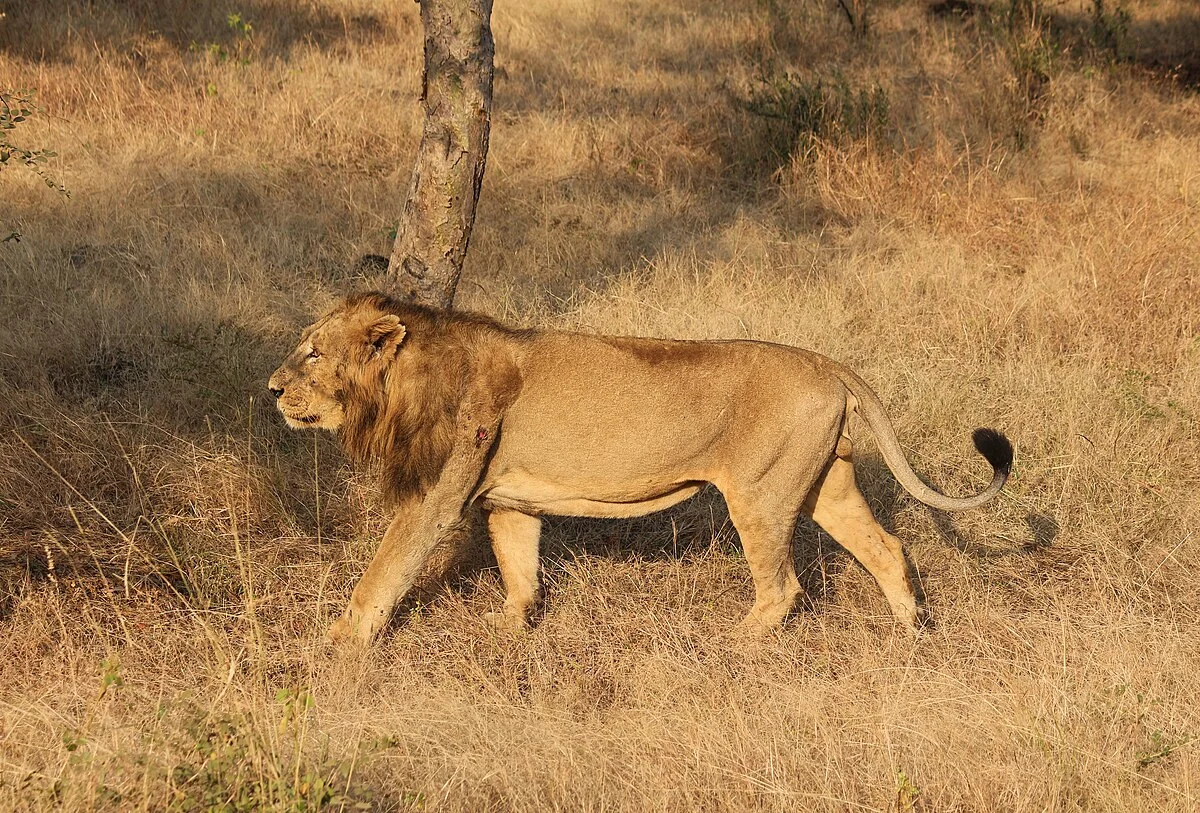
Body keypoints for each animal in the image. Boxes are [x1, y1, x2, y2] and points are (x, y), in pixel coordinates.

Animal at [268, 292, 1012, 644]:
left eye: (313, 353)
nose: (271, 389)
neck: (403, 382)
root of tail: (829, 363)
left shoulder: (433, 498)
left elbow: (382, 573)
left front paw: (339, 645)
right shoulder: (509, 499)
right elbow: (519, 569)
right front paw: (510, 631)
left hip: (760, 496)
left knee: (783, 588)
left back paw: (733, 645)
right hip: (826, 484)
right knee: (887, 548)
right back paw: (913, 633)